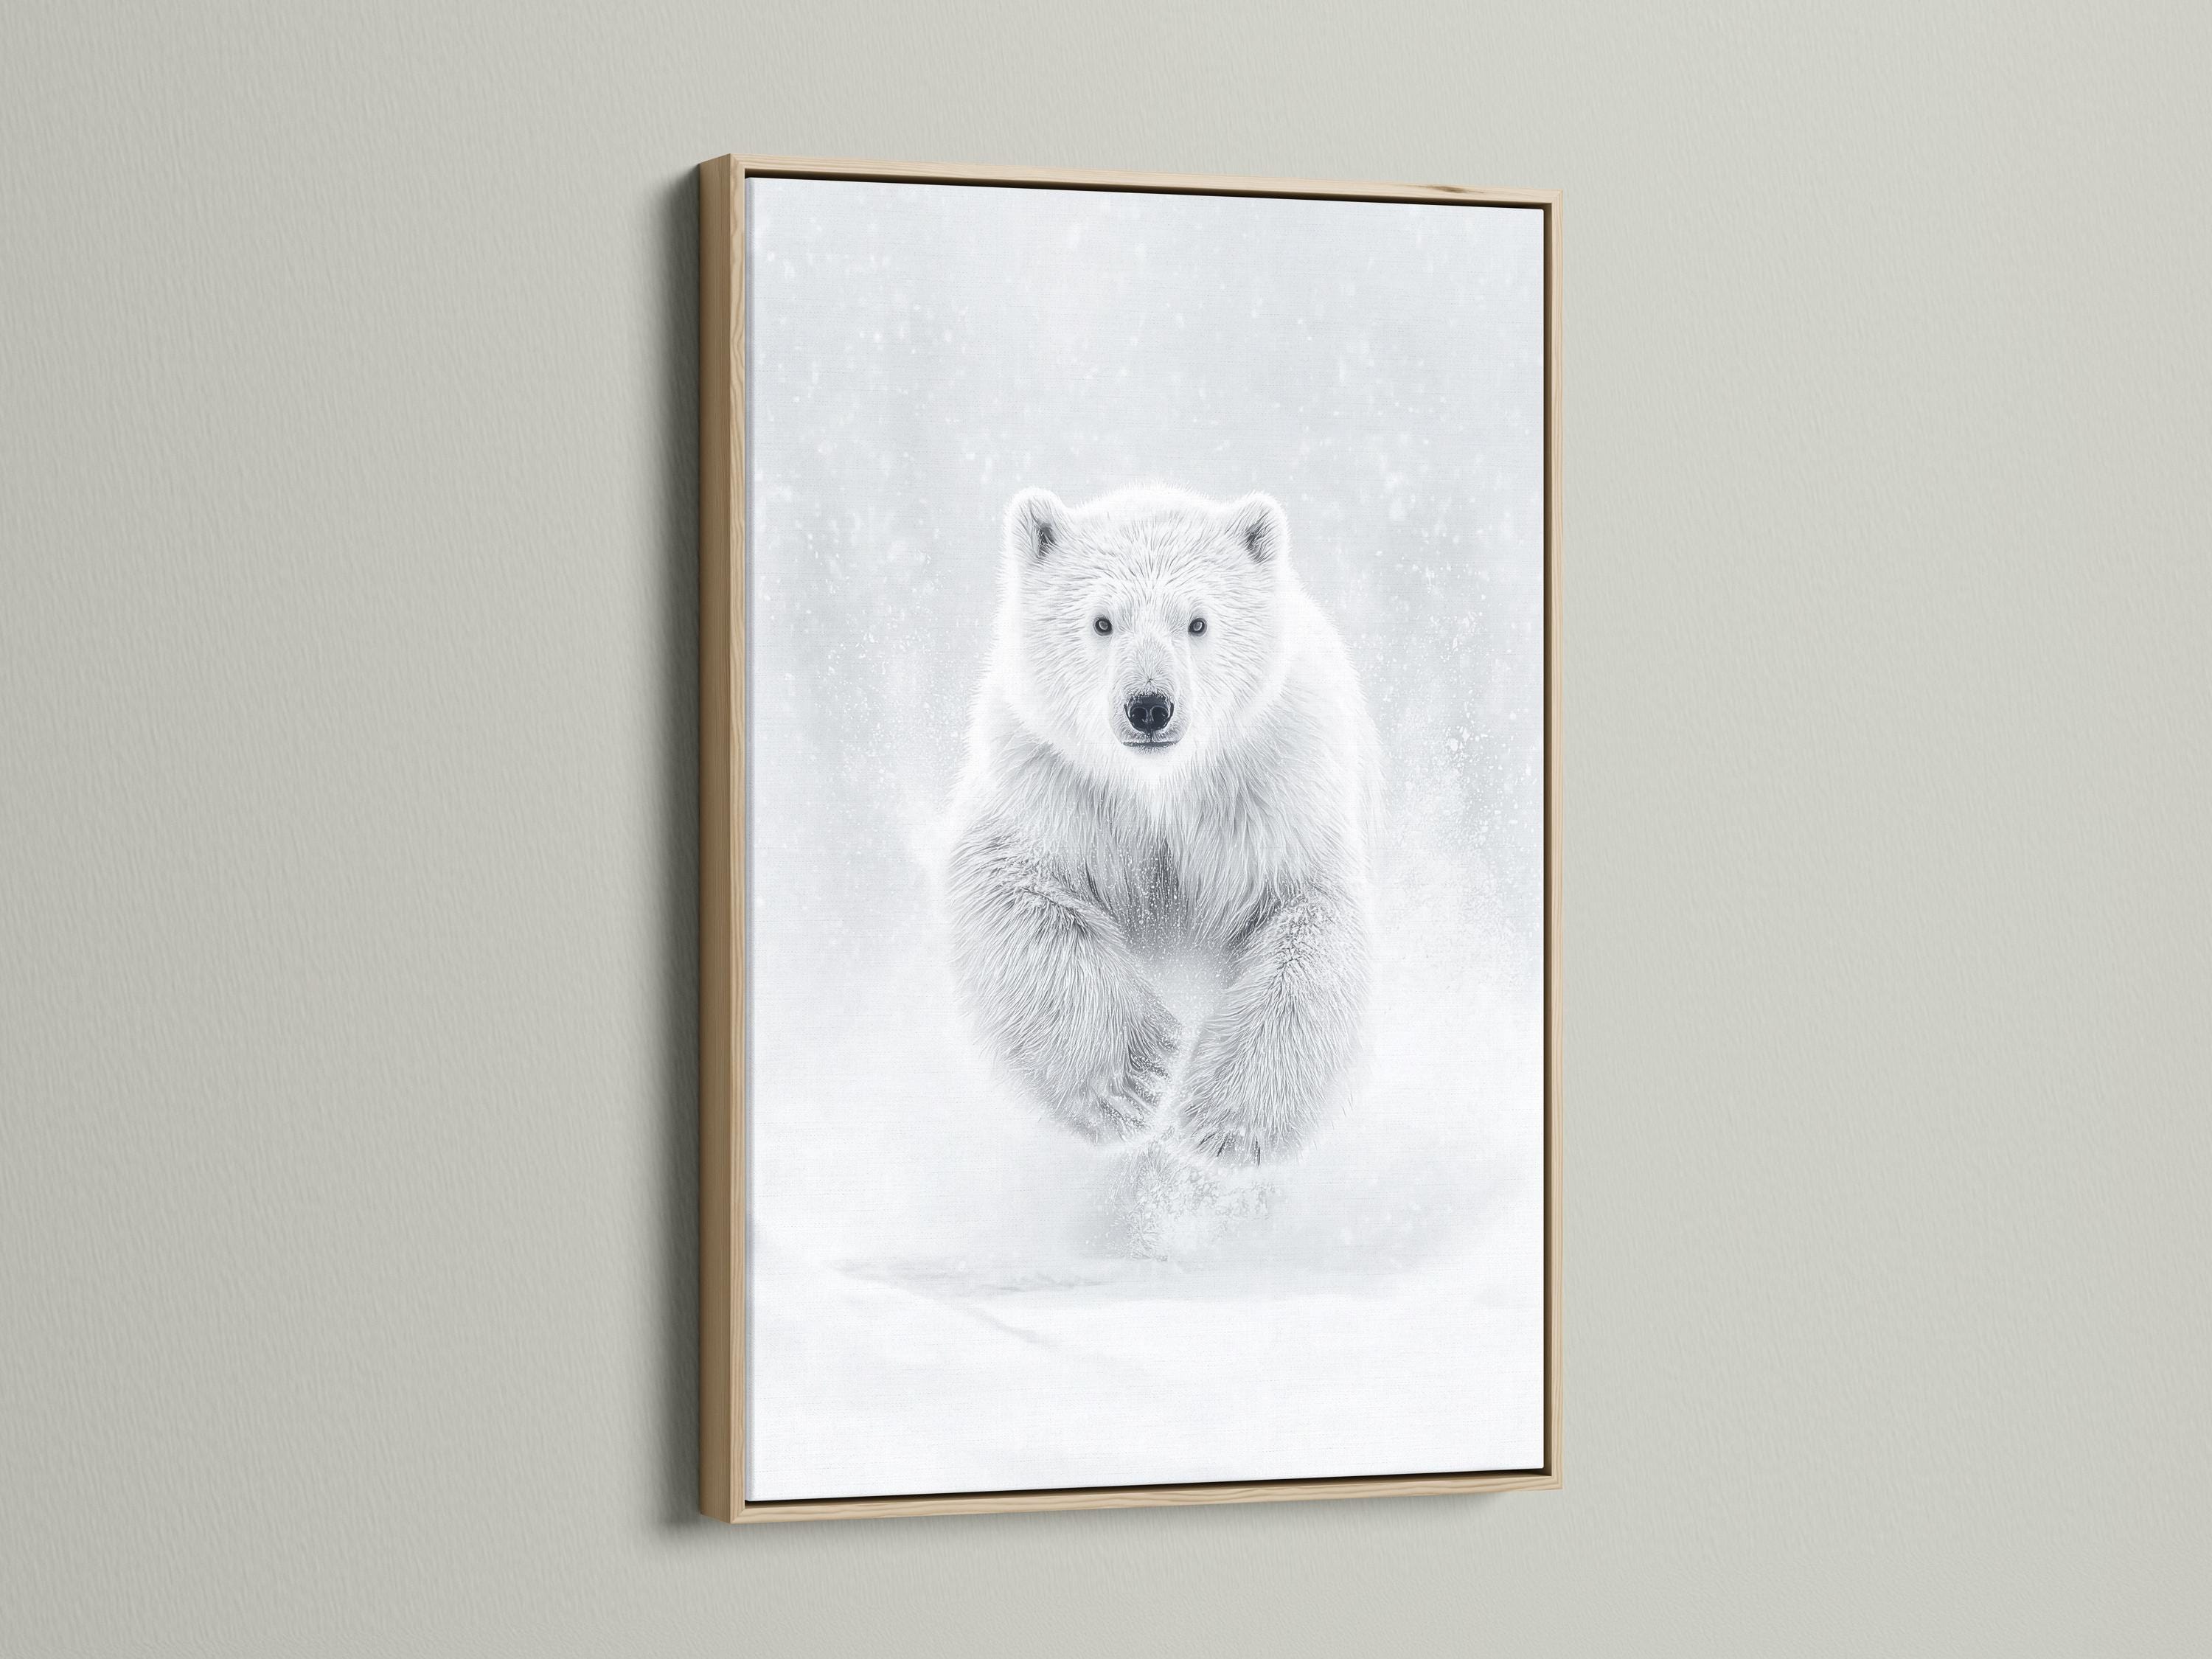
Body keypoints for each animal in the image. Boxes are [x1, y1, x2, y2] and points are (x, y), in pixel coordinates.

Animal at [946, 486, 1378, 1169]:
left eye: (1197, 622)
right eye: (1102, 621)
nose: (1149, 706)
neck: (1159, 789)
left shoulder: (1272, 788)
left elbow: (1309, 920)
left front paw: (1224, 1126)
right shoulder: (1052, 782)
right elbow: (1011, 890)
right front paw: (1135, 1081)